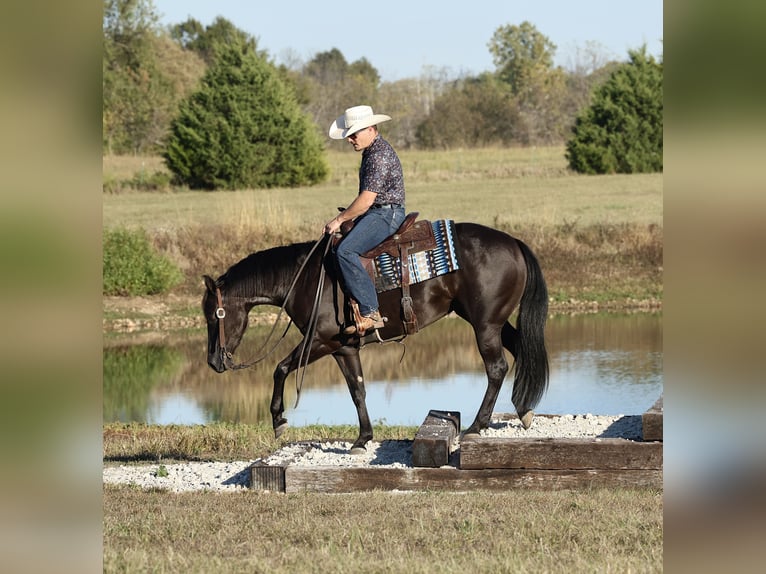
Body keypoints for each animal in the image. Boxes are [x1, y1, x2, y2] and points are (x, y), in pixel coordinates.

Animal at [202, 222, 549, 454]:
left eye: (214, 315)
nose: (214, 362)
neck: (305, 279)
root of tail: (513, 242)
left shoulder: (321, 341)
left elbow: (281, 368)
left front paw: (278, 420)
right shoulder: (343, 348)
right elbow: (358, 390)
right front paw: (362, 439)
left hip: (485, 325)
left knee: (496, 368)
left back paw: (477, 427)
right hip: (489, 321)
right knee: (520, 351)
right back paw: (524, 411)